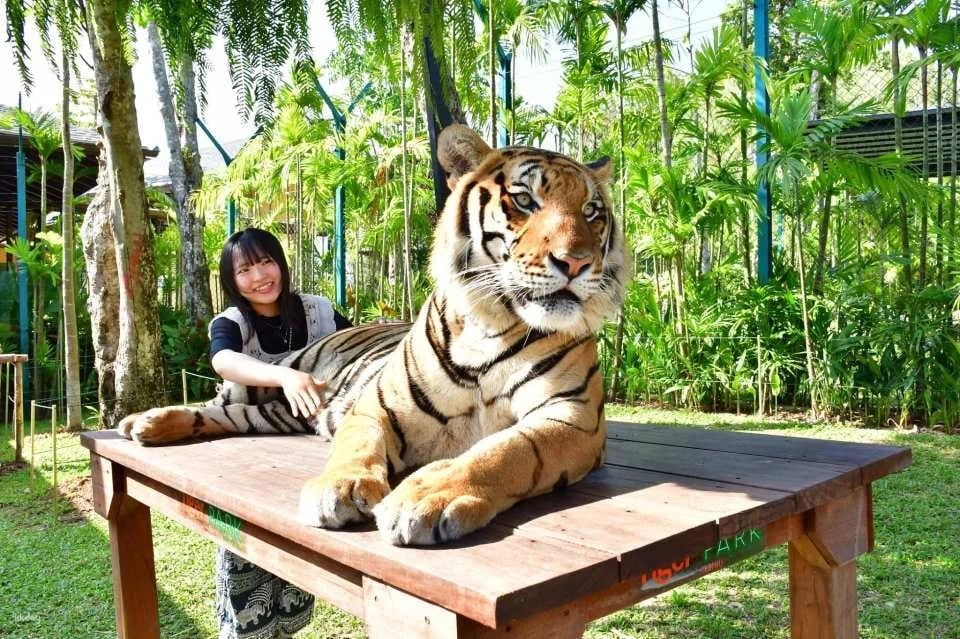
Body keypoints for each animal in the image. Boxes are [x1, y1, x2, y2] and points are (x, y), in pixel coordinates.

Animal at [118, 124, 627, 545]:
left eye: (591, 212)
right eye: (524, 200)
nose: (577, 262)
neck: (494, 323)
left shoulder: (572, 417)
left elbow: (504, 451)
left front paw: (427, 495)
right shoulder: (376, 405)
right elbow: (356, 445)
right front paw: (337, 488)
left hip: (274, 415)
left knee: (234, 417)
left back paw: (146, 426)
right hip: (274, 375)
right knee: (218, 400)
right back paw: (143, 420)